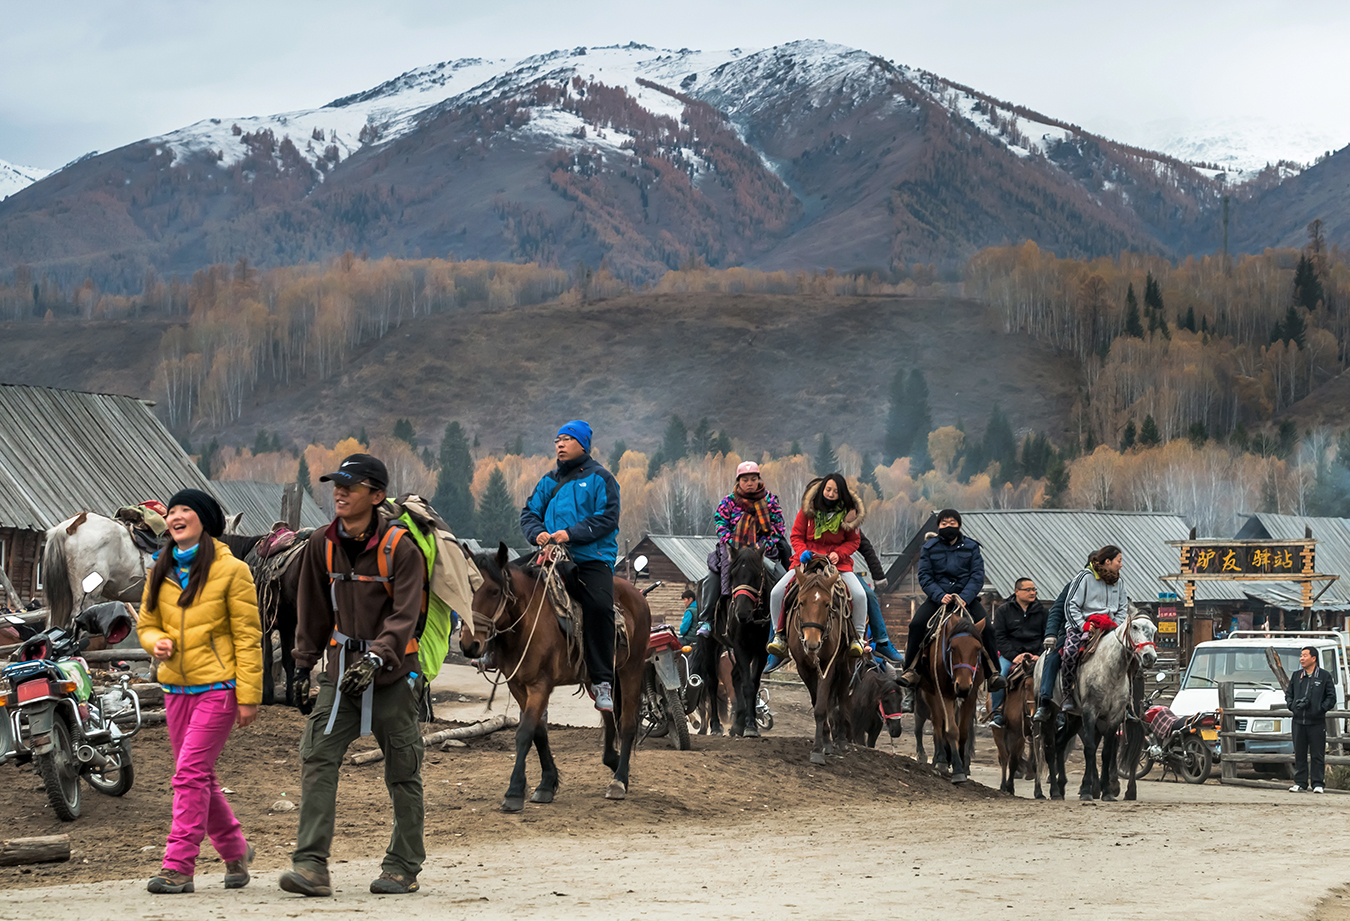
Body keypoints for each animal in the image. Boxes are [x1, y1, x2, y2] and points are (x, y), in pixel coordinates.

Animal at [461, 545, 650, 810]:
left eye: (494, 591)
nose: (469, 645)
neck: (527, 622)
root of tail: (638, 595)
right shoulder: (518, 686)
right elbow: (539, 732)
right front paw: (546, 784)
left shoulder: (540, 685)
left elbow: (525, 733)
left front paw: (514, 791)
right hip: (597, 678)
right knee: (608, 714)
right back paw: (613, 762)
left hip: (630, 670)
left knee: (628, 722)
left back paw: (619, 780)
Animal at [912, 602, 988, 783]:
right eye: (952, 648)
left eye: (978, 649)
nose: (963, 686)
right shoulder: (943, 693)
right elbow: (950, 729)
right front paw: (956, 768)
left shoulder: (970, 695)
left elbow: (963, 732)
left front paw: (961, 763)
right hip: (928, 697)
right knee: (930, 724)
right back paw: (935, 758)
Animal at [993, 653, 1042, 794]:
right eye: (1026, 686)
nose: (1034, 715)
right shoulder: (1016, 734)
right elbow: (1013, 760)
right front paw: (1010, 787)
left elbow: (1037, 762)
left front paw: (1039, 792)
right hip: (999, 732)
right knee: (1004, 757)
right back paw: (1003, 785)